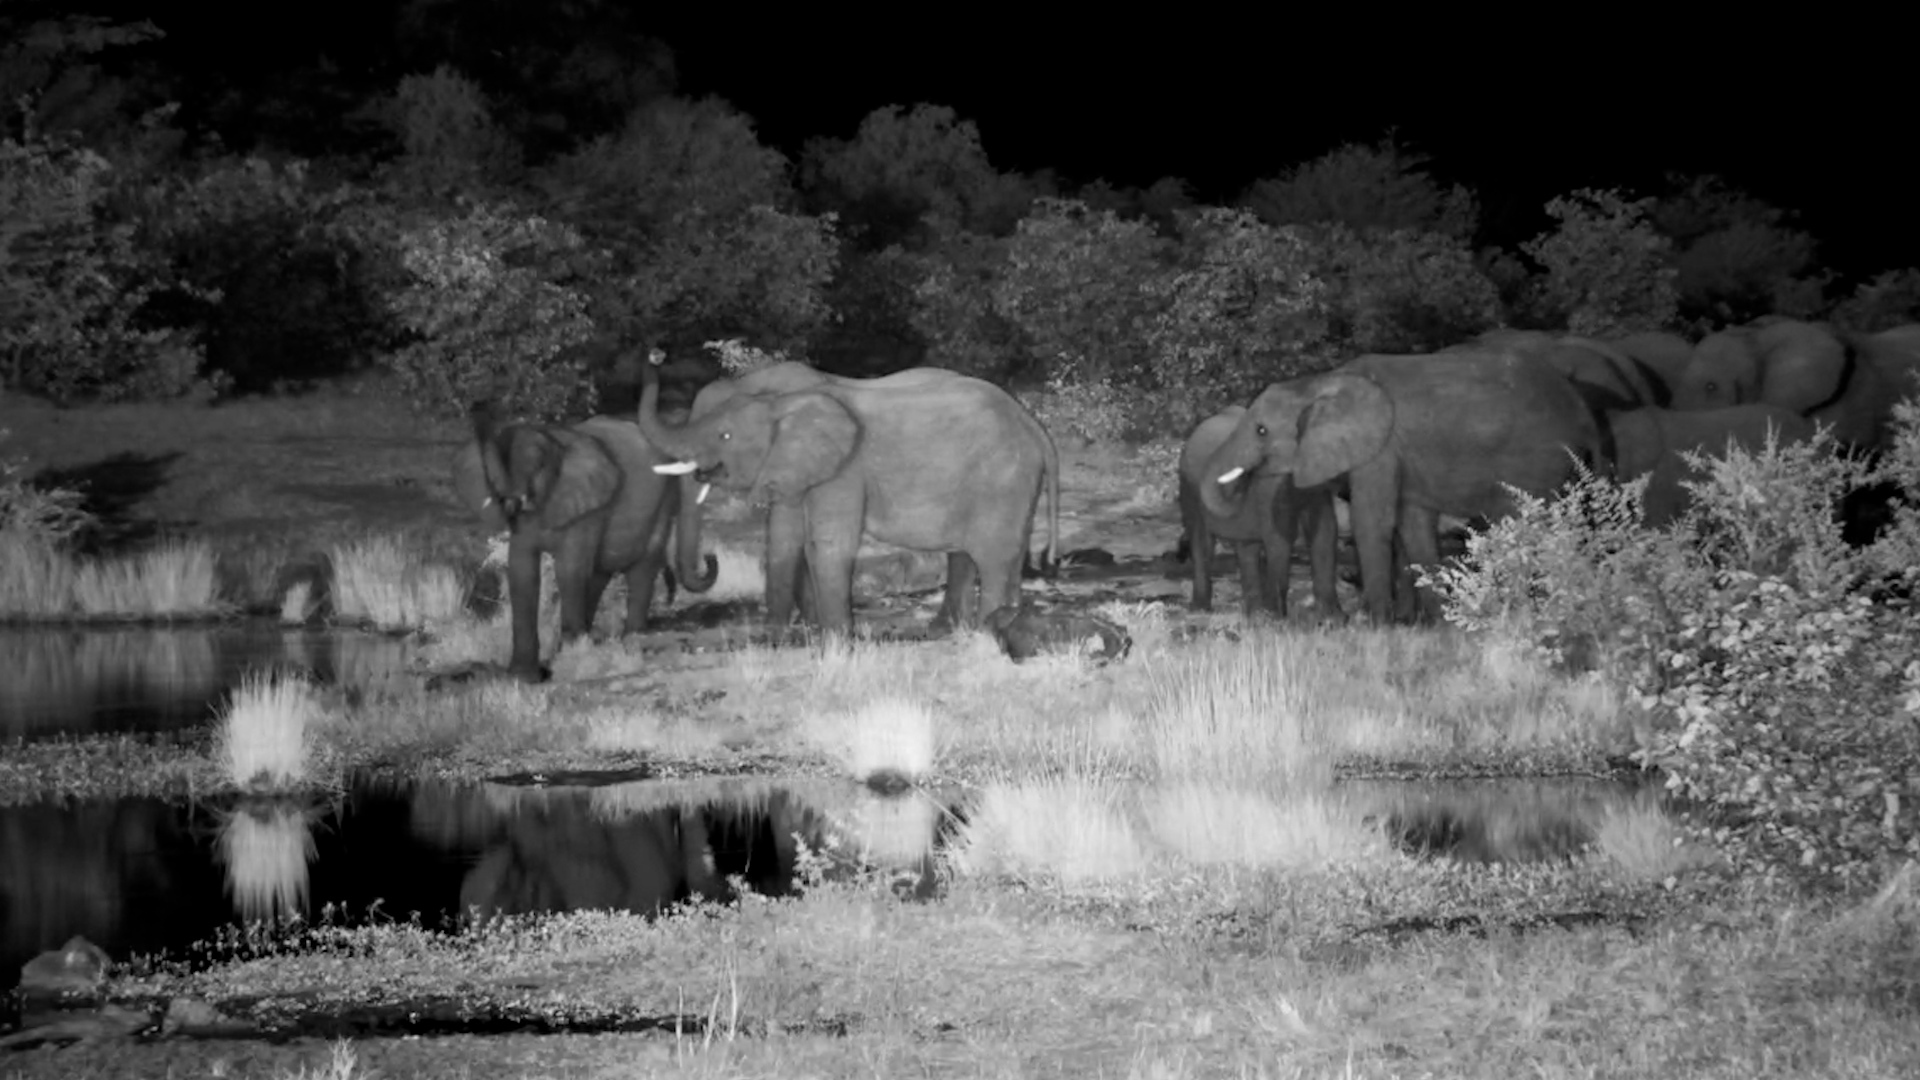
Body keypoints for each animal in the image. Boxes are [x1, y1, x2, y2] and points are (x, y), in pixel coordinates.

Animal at [452, 407, 718, 681]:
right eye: (493, 472)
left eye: (538, 467)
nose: (709, 556)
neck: (554, 440)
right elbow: (522, 570)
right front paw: (523, 677)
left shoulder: (589, 505)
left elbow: (568, 569)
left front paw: (568, 662)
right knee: (600, 574)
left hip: (662, 499)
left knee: (641, 566)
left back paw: (632, 641)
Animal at [636, 358, 1058, 636]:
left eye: (724, 436)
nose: (655, 355)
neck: (769, 395)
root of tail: (1033, 425)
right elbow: (787, 539)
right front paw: (782, 636)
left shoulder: (842, 471)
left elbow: (826, 543)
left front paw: (829, 640)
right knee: (996, 552)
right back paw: (978, 628)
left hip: (1001, 478)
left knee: (993, 556)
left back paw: (984, 635)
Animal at [1178, 405, 1339, 619]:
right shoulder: (1268, 486)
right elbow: (1279, 537)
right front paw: (1276, 618)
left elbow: (1325, 532)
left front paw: (1333, 619)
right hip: (1187, 486)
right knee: (1201, 540)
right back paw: (1201, 611)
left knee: (1245, 546)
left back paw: (1254, 615)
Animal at [1201, 350, 1602, 623]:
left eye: (1261, 430)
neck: (1320, 382)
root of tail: (1584, 413)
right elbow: (1413, 527)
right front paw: (1437, 624)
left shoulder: (1379, 450)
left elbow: (1371, 523)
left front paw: (1375, 625)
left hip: (1536, 463)